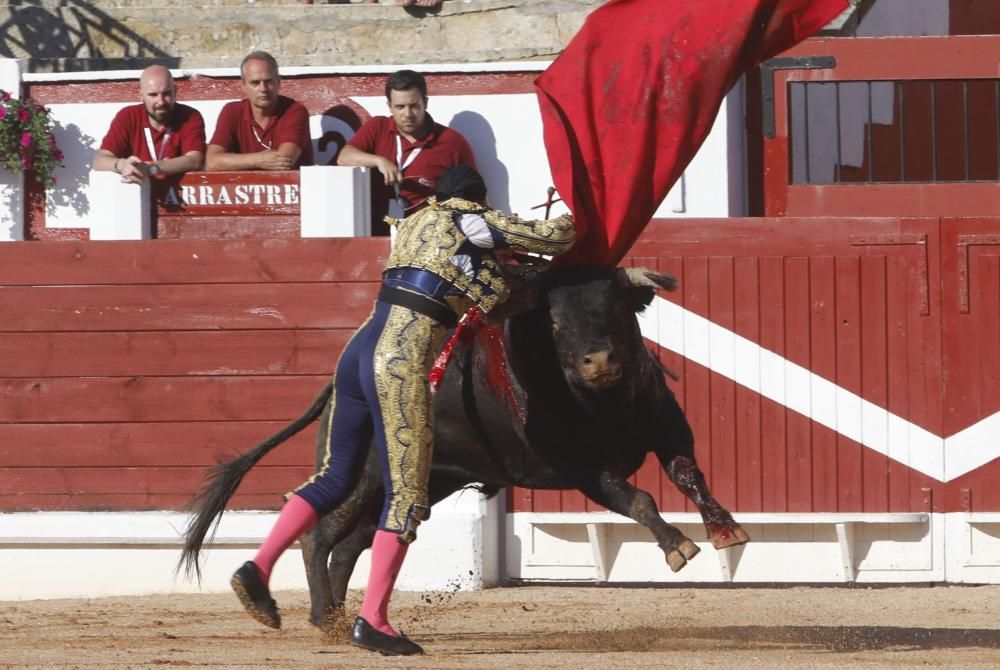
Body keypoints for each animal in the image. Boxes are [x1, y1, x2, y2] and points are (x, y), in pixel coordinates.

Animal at [178, 266, 752, 632]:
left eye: (616, 311)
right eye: (555, 323)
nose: (600, 361)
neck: (605, 404)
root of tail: (341, 384)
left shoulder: (667, 427)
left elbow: (687, 474)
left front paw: (726, 530)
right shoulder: (584, 469)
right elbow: (639, 499)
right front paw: (677, 546)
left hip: (420, 482)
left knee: (352, 542)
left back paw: (341, 620)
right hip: (362, 474)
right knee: (320, 534)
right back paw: (321, 616)